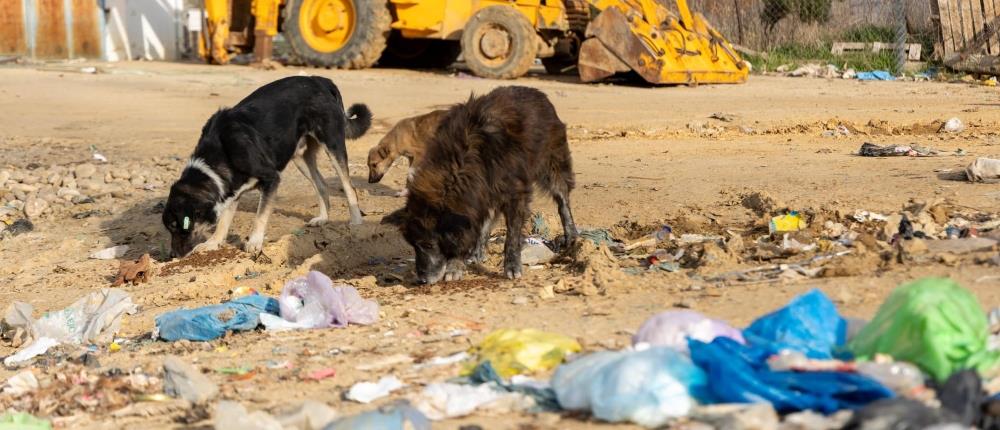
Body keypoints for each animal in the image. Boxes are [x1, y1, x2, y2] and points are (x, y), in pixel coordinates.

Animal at [164, 75, 372, 256]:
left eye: (178, 226)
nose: (173, 256)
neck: (220, 154)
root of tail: (319, 80)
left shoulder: (271, 178)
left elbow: (260, 215)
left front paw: (254, 242)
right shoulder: (232, 189)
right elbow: (224, 221)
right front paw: (213, 242)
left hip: (332, 145)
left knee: (349, 186)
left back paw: (356, 221)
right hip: (299, 155)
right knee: (321, 184)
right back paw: (323, 218)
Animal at [380, 85, 576, 284]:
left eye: (428, 244)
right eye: (413, 245)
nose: (422, 280)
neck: (461, 161)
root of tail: (536, 92)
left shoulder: (515, 194)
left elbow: (512, 235)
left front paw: (512, 265)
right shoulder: (477, 196)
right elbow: (471, 230)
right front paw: (458, 263)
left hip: (553, 167)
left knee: (563, 202)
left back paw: (571, 235)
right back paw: (477, 252)